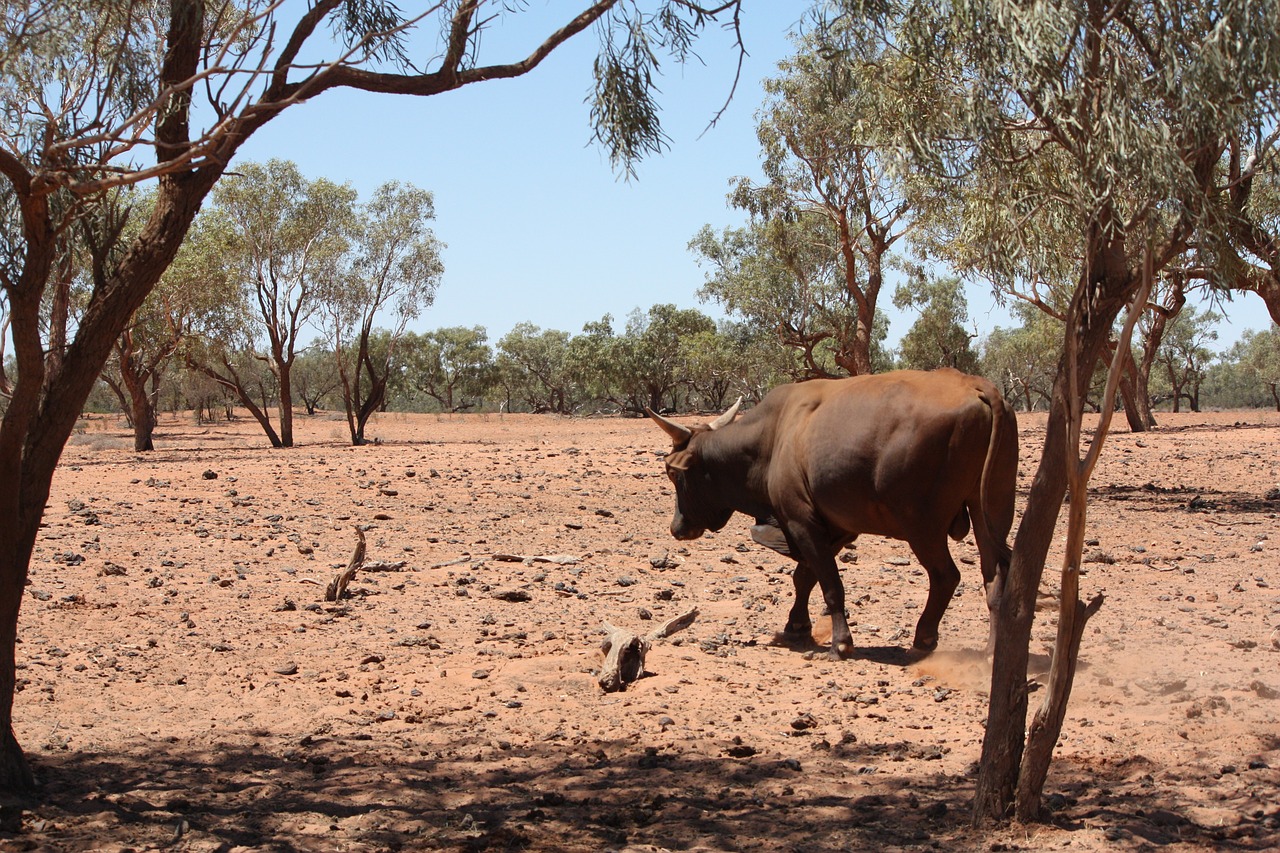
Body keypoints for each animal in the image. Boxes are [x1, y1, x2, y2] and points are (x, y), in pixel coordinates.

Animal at [650, 366, 1018, 655]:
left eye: (672, 473)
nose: (676, 528)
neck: (773, 436)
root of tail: (974, 385)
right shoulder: (835, 526)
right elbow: (805, 576)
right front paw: (797, 624)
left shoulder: (801, 520)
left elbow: (829, 584)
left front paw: (841, 642)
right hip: (990, 512)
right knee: (997, 576)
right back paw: (993, 650)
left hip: (922, 527)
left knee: (946, 576)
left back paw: (924, 639)